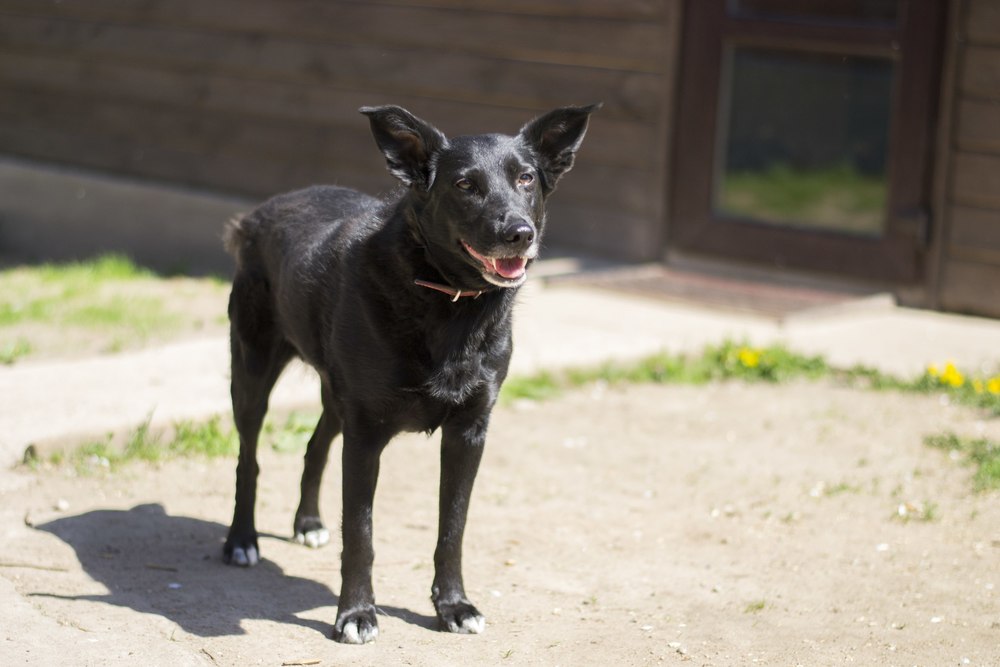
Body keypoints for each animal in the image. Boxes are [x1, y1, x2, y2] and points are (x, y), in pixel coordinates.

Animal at [221, 103, 592, 640]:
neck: (446, 301)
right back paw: (241, 540)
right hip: (252, 373)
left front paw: (453, 606)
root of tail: (260, 211)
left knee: (314, 446)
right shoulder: (366, 435)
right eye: (465, 184)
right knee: (247, 459)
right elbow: (361, 533)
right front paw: (356, 614)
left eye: (525, 178)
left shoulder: (468, 433)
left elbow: (452, 529)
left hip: (336, 396)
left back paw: (308, 523)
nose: (519, 234)